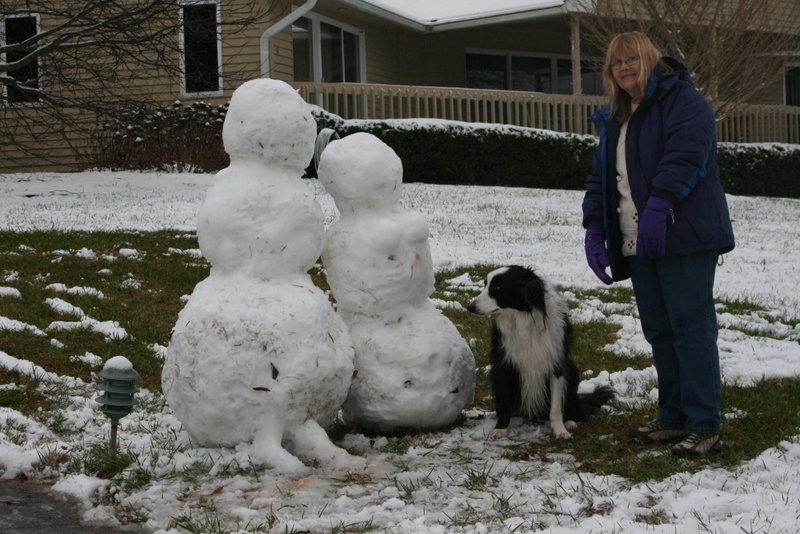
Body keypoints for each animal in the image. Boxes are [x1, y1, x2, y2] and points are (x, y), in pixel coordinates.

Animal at [466, 266, 616, 440]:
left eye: (497, 288)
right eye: (485, 285)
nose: (470, 307)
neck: (523, 317)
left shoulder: (556, 363)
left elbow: (556, 407)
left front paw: (560, 430)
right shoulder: (504, 364)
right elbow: (504, 400)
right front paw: (501, 428)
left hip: (572, 370)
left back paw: (571, 421)